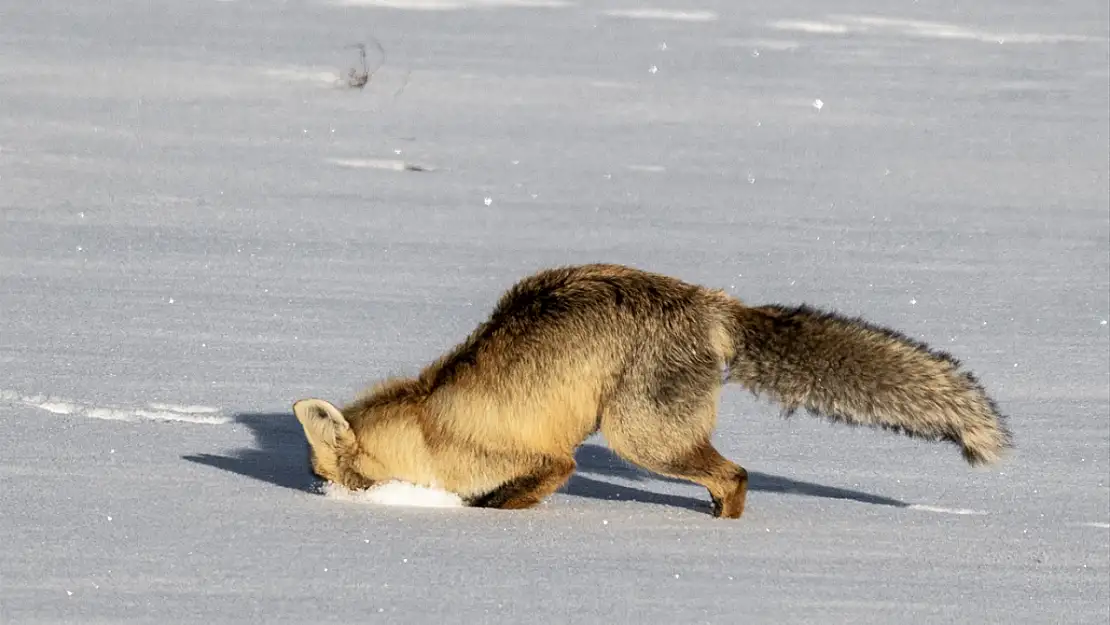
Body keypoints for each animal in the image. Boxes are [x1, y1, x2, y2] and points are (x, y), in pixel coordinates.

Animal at [290, 264, 1012, 519]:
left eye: (319, 469)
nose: (315, 497)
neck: (427, 424)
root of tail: (712, 303)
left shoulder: (548, 461)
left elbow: (501, 501)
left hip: (641, 439)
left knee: (735, 476)